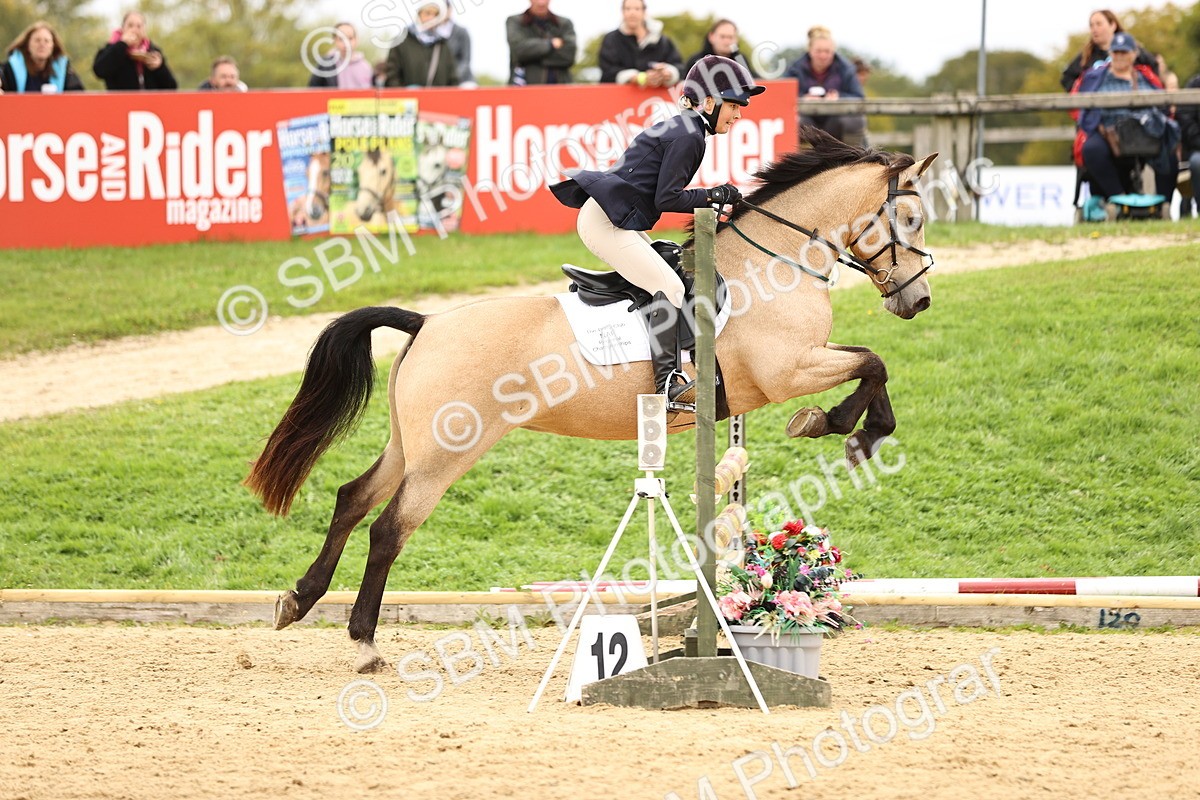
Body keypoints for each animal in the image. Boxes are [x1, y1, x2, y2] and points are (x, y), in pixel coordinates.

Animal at [245, 129, 938, 673]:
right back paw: (363, 643)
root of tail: (427, 322)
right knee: (388, 529)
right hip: (445, 454)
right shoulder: (787, 370)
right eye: (912, 221)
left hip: (407, 444)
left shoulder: (790, 368)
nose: (919, 299)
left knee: (351, 499)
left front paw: (844, 426)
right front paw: (846, 428)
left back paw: (297, 600)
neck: (777, 263)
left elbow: (871, 360)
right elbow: (873, 364)